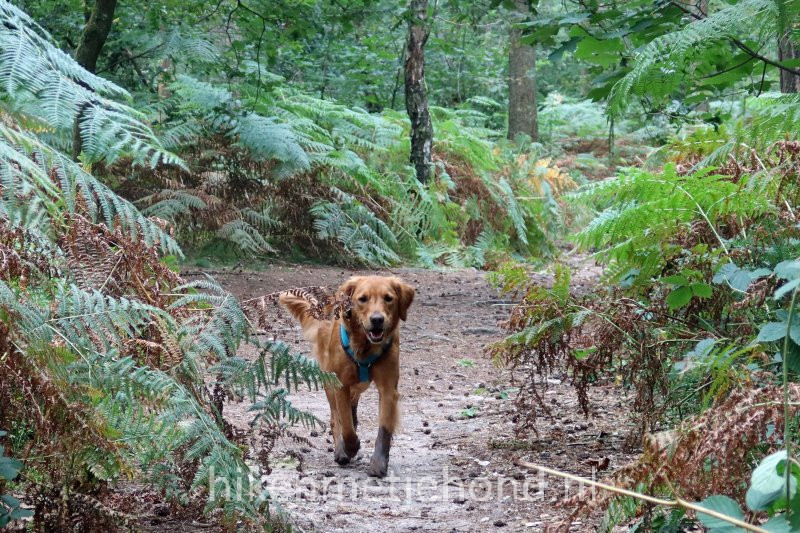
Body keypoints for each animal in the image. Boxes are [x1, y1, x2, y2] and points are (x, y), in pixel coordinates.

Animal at [278, 276, 412, 476]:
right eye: (362, 299)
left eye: (388, 298)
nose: (377, 319)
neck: (364, 347)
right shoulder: (341, 384)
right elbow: (346, 424)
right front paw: (350, 447)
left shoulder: (388, 388)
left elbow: (384, 427)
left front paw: (379, 463)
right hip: (329, 381)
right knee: (336, 418)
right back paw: (341, 451)